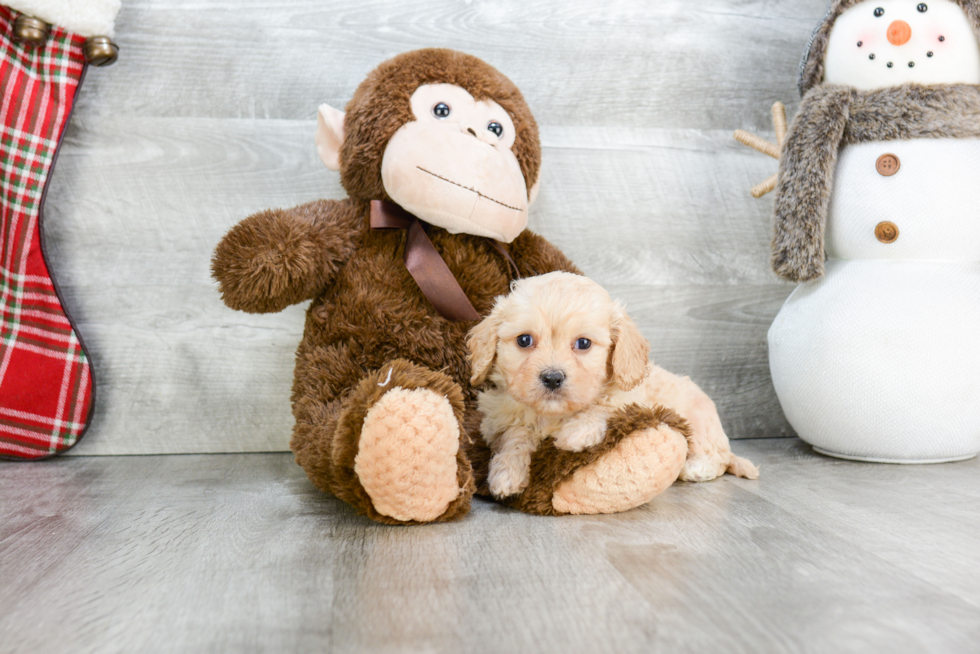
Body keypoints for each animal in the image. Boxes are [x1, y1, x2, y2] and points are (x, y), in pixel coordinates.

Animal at [468, 274, 756, 500]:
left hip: (699, 422)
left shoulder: (633, 397)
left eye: (583, 343)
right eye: (524, 340)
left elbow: (603, 404)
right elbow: (514, 435)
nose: (552, 377)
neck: (553, 414)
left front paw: (577, 433)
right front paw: (506, 473)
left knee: (718, 457)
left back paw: (696, 468)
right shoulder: (500, 417)